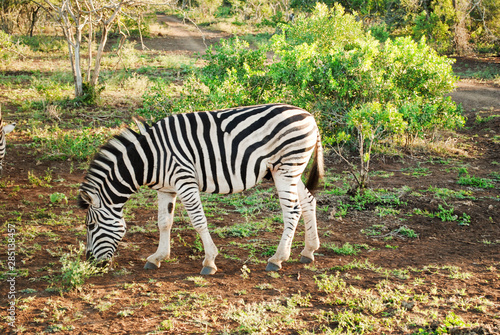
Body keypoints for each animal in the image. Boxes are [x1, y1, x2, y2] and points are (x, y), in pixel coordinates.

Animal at [76, 103, 322, 276]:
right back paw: (308, 251)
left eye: (91, 225)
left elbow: (198, 221)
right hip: (291, 171)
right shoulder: (166, 188)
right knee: (308, 202)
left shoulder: (185, 180)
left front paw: (209, 262)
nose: (90, 262)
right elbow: (164, 222)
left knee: (292, 211)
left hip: (286, 168)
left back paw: (277, 259)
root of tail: (309, 116)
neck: (149, 159)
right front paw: (157, 257)